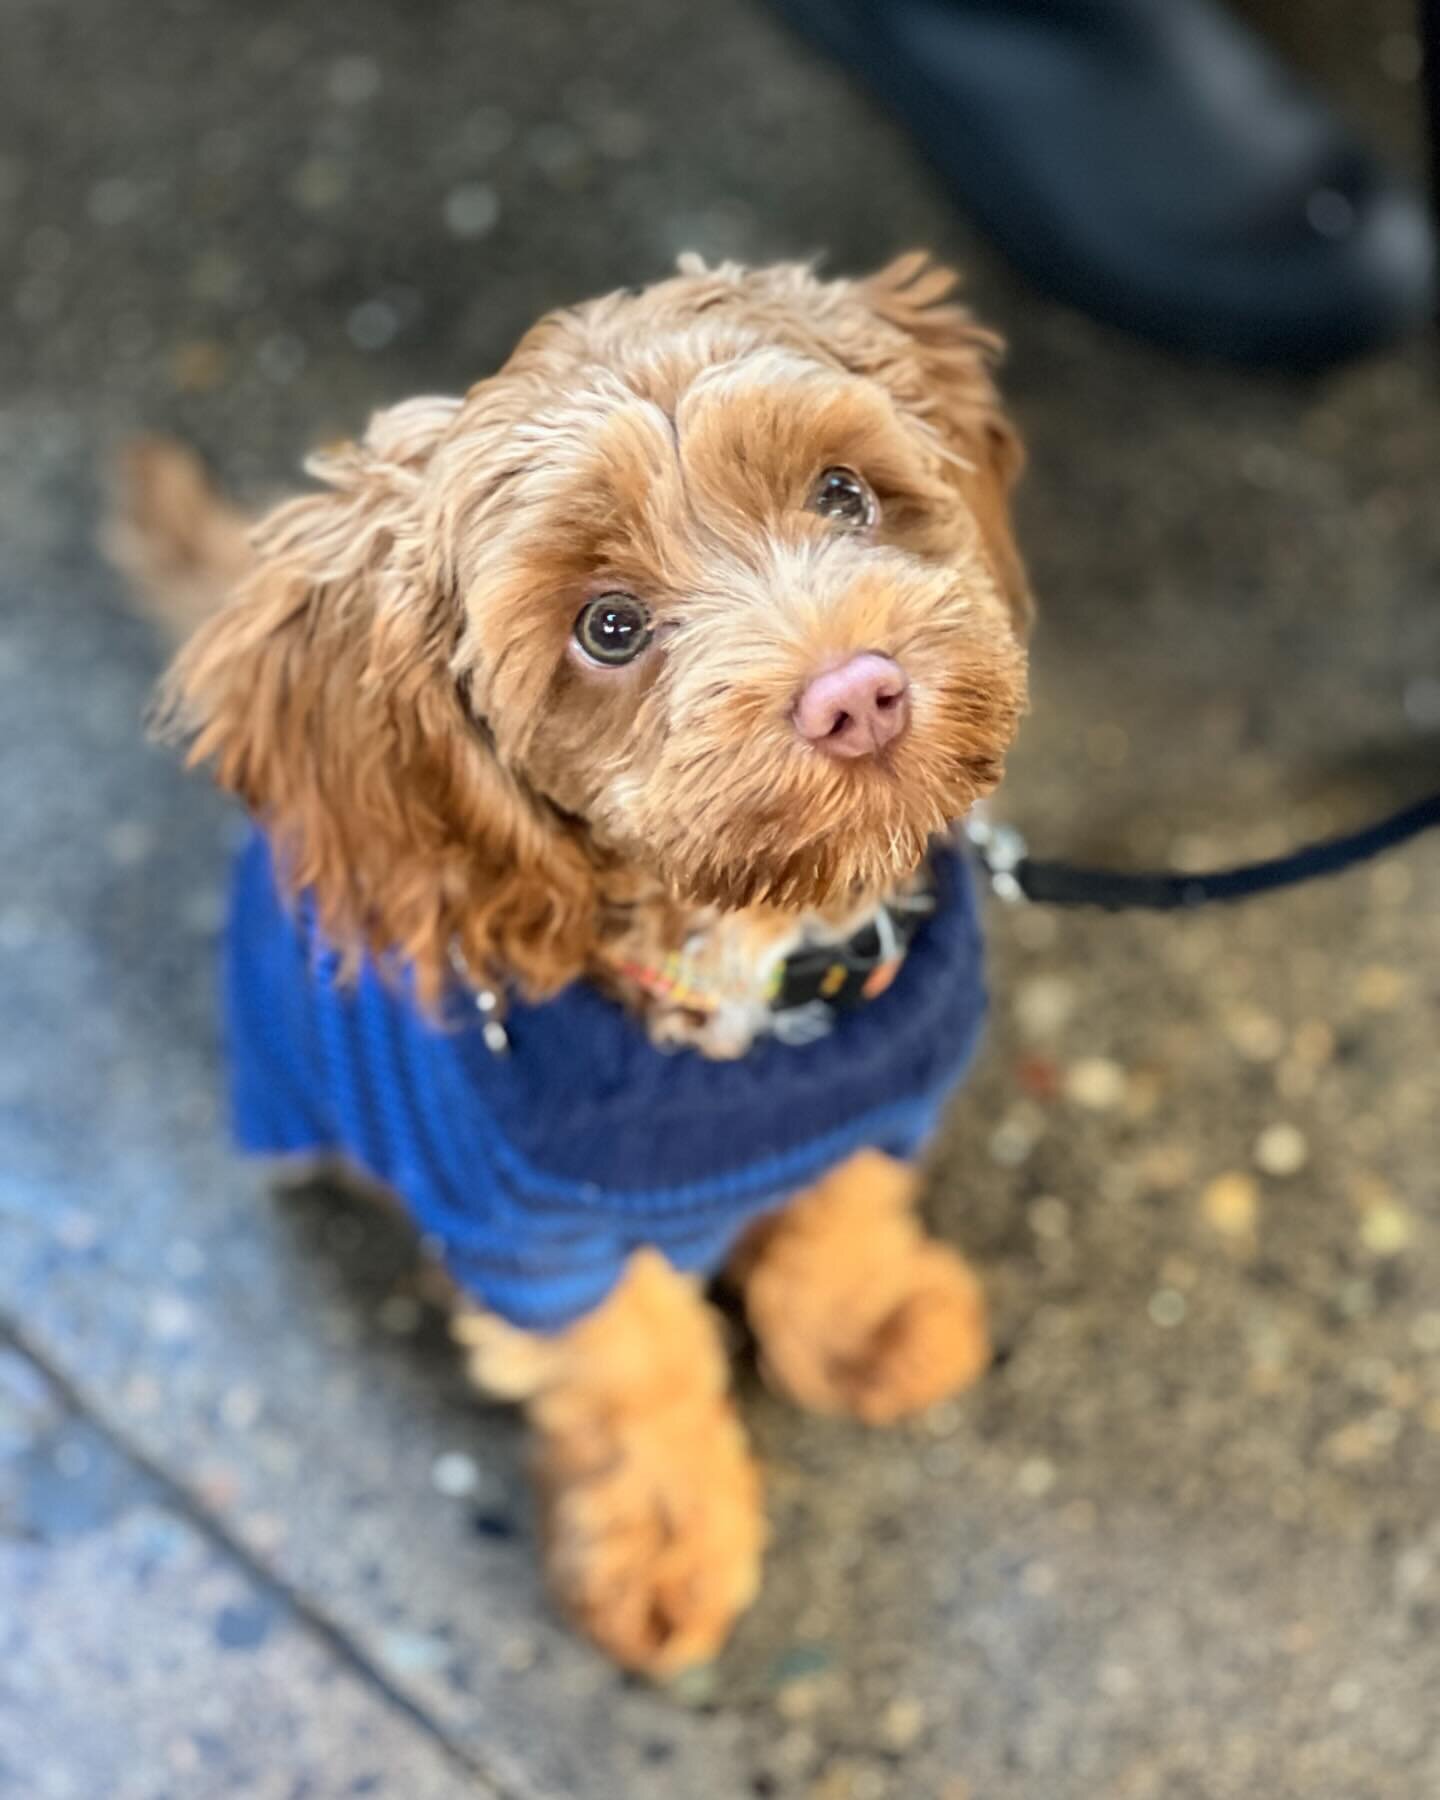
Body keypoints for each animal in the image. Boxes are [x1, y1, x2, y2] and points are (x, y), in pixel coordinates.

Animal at [115, 253, 1036, 1670]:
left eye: (843, 493)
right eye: (607, 628)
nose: (860, 692)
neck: (752, 962)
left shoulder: (884, 1100)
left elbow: (838, 1211)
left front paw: (861, 1326)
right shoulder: (534, 1235)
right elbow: (633, 1369)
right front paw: (662, 1544)